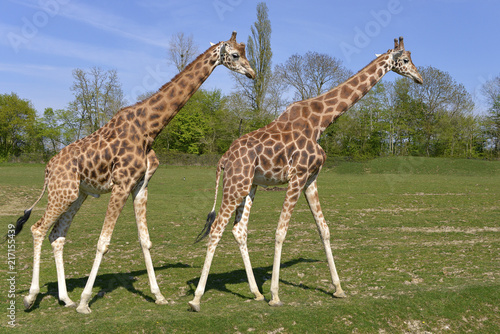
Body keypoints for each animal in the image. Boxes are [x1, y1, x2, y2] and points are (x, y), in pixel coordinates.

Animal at [13, 30, 256, 314]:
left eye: (245, 52)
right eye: (236, 54)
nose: (252, 73)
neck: (149, 128)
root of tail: (48, 168)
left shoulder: (140, 185)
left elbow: (145, 240)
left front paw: (159, 295)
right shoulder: (122, 184)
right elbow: (103, 242)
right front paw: (85, 302)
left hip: (77, 194)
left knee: (57, 235)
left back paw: (65, 298)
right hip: (61, 192)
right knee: (38, 229)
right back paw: (31, 297)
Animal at [189, 36, 424, 310]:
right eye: (405, 60)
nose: (419, 78)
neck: (321, 121)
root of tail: (223, 160)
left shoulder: (311, 179)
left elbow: (324, 229)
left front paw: (339, 289)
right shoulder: (297, 176)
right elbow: (281, 231)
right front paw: (275, 295)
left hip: (249, 186)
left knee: (239, 229)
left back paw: (256, 293)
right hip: (235, 185)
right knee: (217, 228)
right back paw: (197, 299)